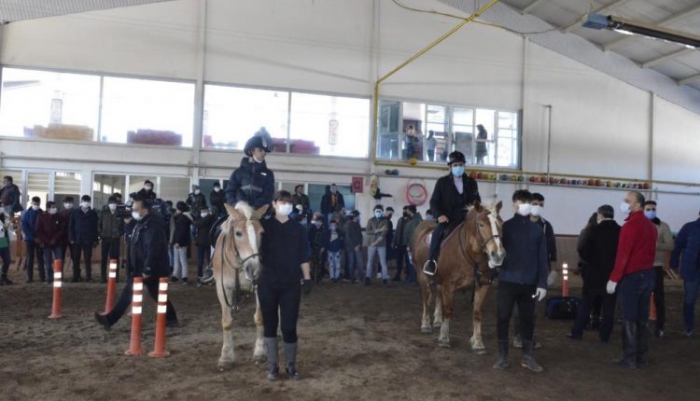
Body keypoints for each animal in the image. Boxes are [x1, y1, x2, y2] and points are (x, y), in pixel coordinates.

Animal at [212, 202, 270, 370]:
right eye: (238, 233)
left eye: (261, 233)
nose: (254, 269)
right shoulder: (223, 288)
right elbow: (226, 321)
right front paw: (226, 356)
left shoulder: (259, 287)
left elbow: (259, 318)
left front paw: (260, 351)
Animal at [410, 202, 504, 352]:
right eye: (481, 224)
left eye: (501, 223)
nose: (498, 255)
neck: (470, 255)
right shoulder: (449, 284)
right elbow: (448, 310)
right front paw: (444, 338)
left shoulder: (483, 285)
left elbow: (477, 312)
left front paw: (477, 342)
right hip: (422, 275)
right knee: (426, 298)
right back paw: (426, 324)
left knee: (438, 295)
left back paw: (437, 320)